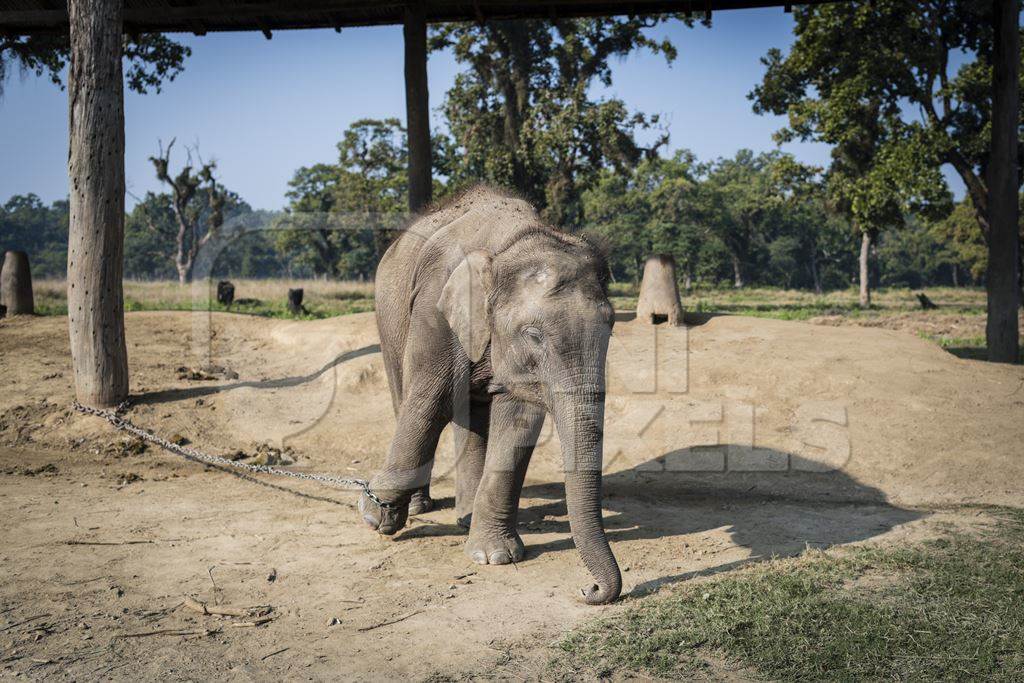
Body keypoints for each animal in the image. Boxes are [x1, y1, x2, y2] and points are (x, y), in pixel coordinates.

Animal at [360, 185, 621, 604]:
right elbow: (429, 401)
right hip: (388, 315)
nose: (590, 588)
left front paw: (495, 556)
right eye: (534, 334)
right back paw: (419, 506)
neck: (517, 240)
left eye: (611, 326)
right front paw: (376, 514)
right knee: (407, 396)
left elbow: (518, 422)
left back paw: (465, 517)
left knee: (474, 413)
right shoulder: (436, 308)